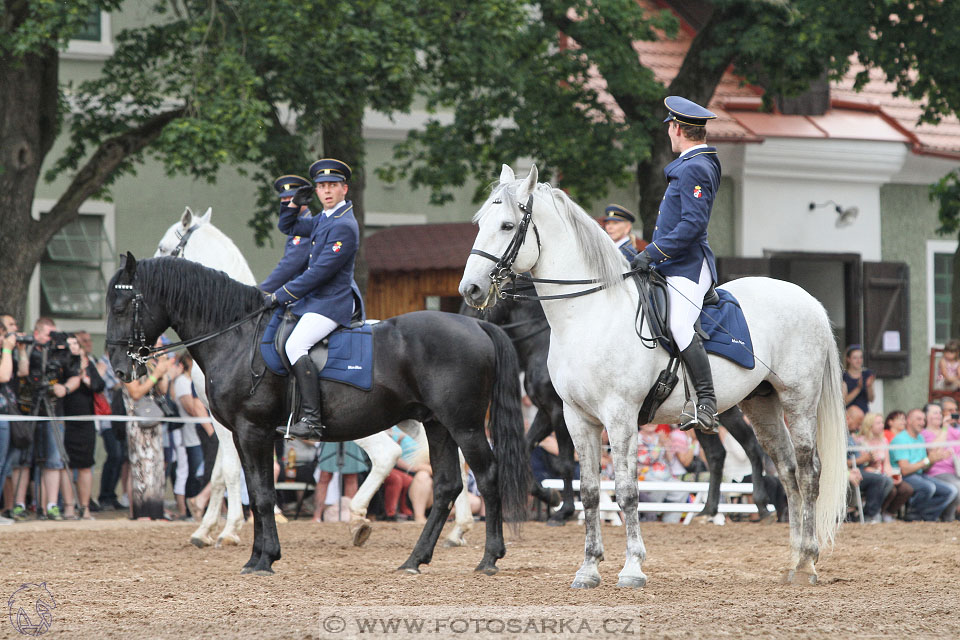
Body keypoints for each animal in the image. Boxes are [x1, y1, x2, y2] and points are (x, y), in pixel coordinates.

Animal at [108, 255, 528, 576]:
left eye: (120, 306)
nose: (118, 369)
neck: (236, 337)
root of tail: (476, 322)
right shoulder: (249, 436)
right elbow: (255, 491)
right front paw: (257, 556)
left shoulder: (252, 431)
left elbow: (260, 495)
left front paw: (263, 560)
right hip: (437, 424)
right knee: (446, 486)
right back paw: (414, 560)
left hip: (464, 425)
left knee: (487, 476)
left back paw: (488, 558)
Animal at [158, 208, 476, 548]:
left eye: (164, 248)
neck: (236, 329)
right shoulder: (231, 422)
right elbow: (219, 473)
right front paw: (205, 529)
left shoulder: (228, 421)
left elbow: (229, 471)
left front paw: (228, 530)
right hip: (415, 420)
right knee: (450, 461)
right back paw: (458, 528)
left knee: (386, 454)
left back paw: (359, 518)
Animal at [462, 166, 844, 592]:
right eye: (481, 223)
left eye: (507, 225)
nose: (470, 291)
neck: (588, 314)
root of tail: (808, 300)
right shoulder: (577, 417)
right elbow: (590, 491)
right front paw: (588, 568)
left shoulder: (618, 416)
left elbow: (626, 491)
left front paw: (632, 567)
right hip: (762, 404)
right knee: (787, 471)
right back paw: (793, 560)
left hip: (798, 401)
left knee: (808, 472)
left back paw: (807, 560)